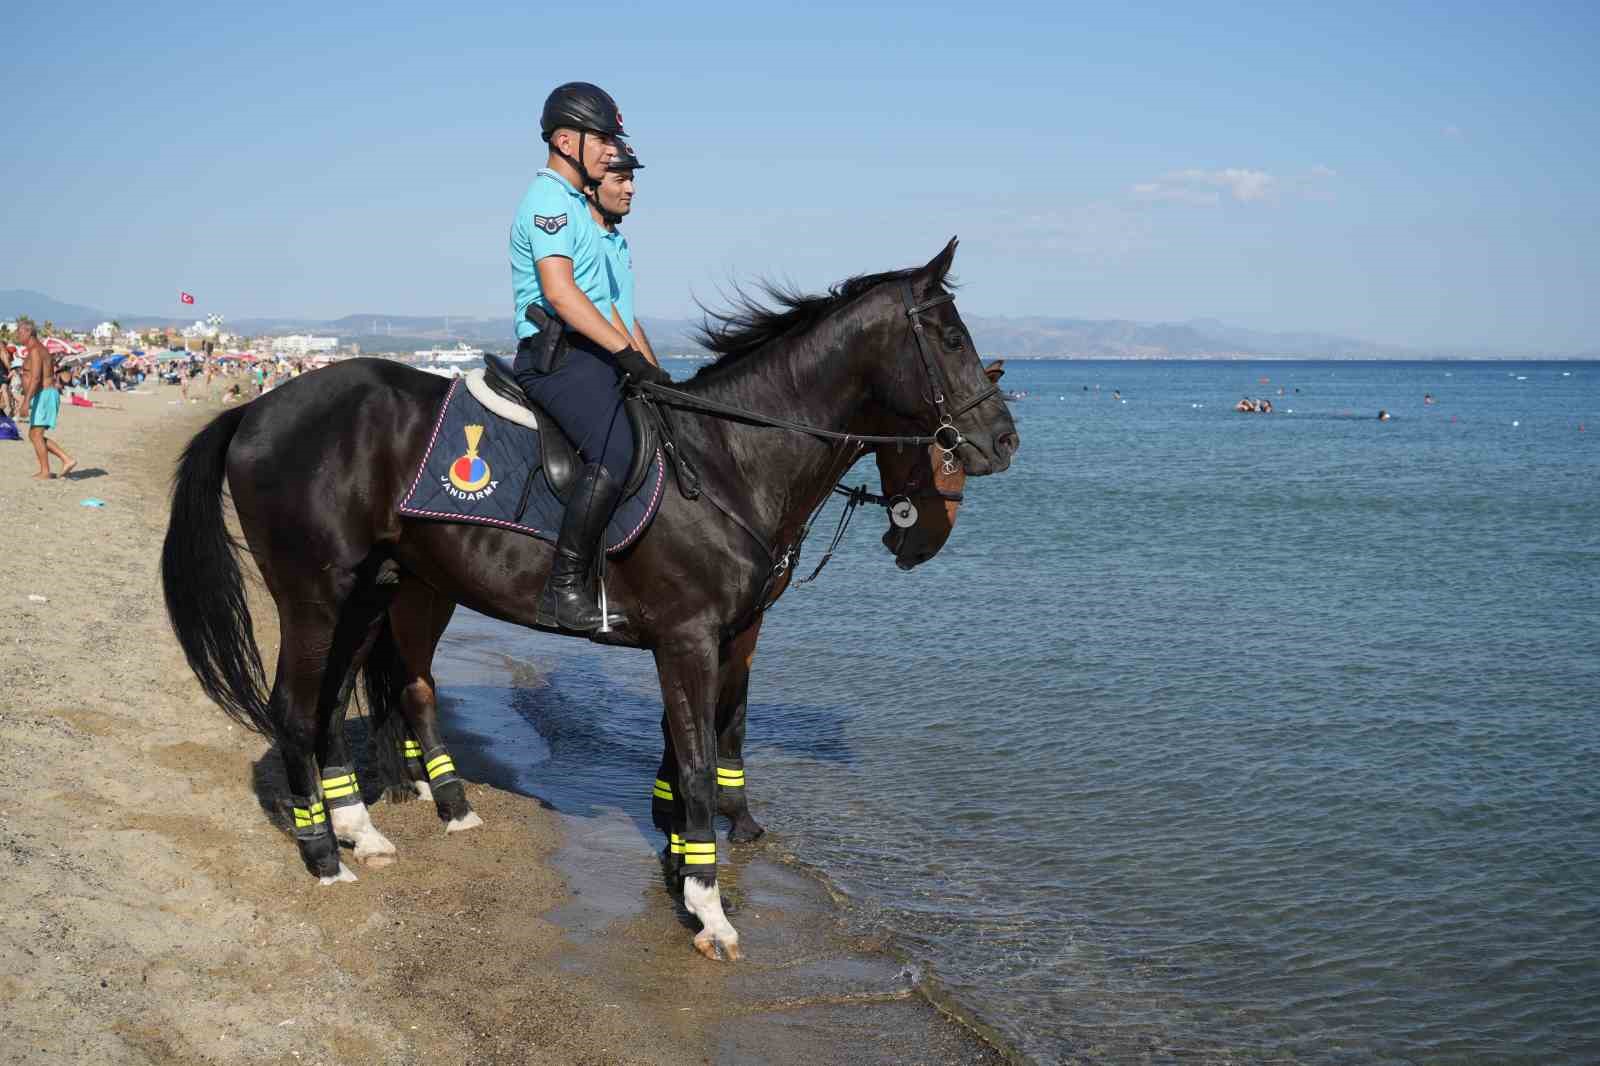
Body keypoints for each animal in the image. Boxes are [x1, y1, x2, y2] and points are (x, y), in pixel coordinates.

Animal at [162, 238, 1011, 953]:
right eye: (950, 338)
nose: (1003, 440)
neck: (730, 458)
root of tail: (255, 408)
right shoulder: (688, 639)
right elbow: (698, 761)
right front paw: (707, 908)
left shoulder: (722, 636)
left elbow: (695, 746)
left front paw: (683, 859)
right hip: (316, 593)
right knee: (295, 706)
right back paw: (321, 855)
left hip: (378, 591)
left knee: (344, 697)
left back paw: (369, 829)